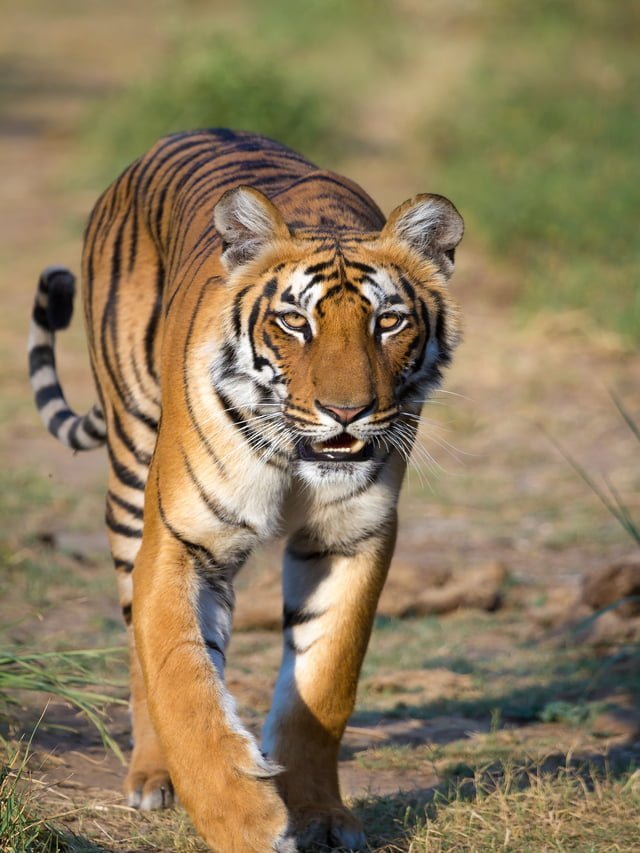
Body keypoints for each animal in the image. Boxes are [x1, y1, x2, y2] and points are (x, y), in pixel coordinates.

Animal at [27, 128, 462, 852]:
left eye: (389, 322)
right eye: (294, 323)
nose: (346, 412)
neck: (297, 459)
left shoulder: (351, 539)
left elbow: (324, 684)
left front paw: (319, 815)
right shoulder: (182, 541)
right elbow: (181, 680)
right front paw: (246, 820)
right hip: (130, 471)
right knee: (141, 645)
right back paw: (152, 775)